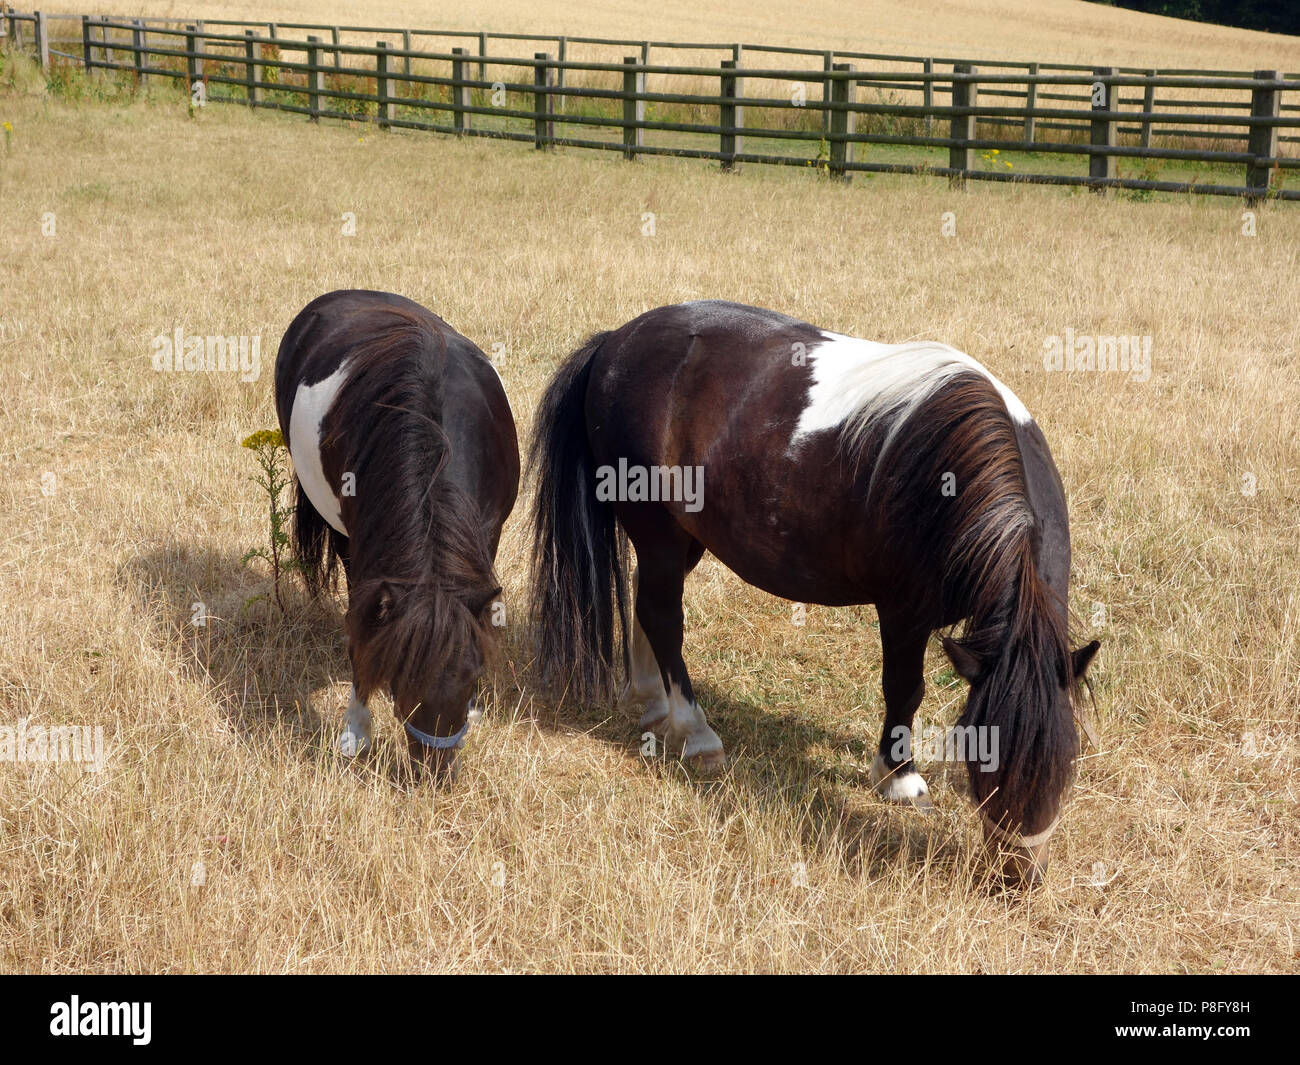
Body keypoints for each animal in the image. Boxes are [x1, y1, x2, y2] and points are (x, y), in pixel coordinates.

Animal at [276, 291, 520, 785]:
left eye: (474, 677)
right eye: (404, 684)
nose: (435, 776)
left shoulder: (489, 537)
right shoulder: (362, 552)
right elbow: (362, 627)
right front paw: (355, 731)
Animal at [527, 300, 1097, 884]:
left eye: (1067, 759)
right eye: (986, 760)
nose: (1017, 878)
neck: (949, 473)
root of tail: (616, 341)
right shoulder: (903, 612)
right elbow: (905, 688)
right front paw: (897, 775)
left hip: (683, 536)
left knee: (646, 603)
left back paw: (651, 700)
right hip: (658, 531)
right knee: (663, 617)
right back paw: (695, 731)